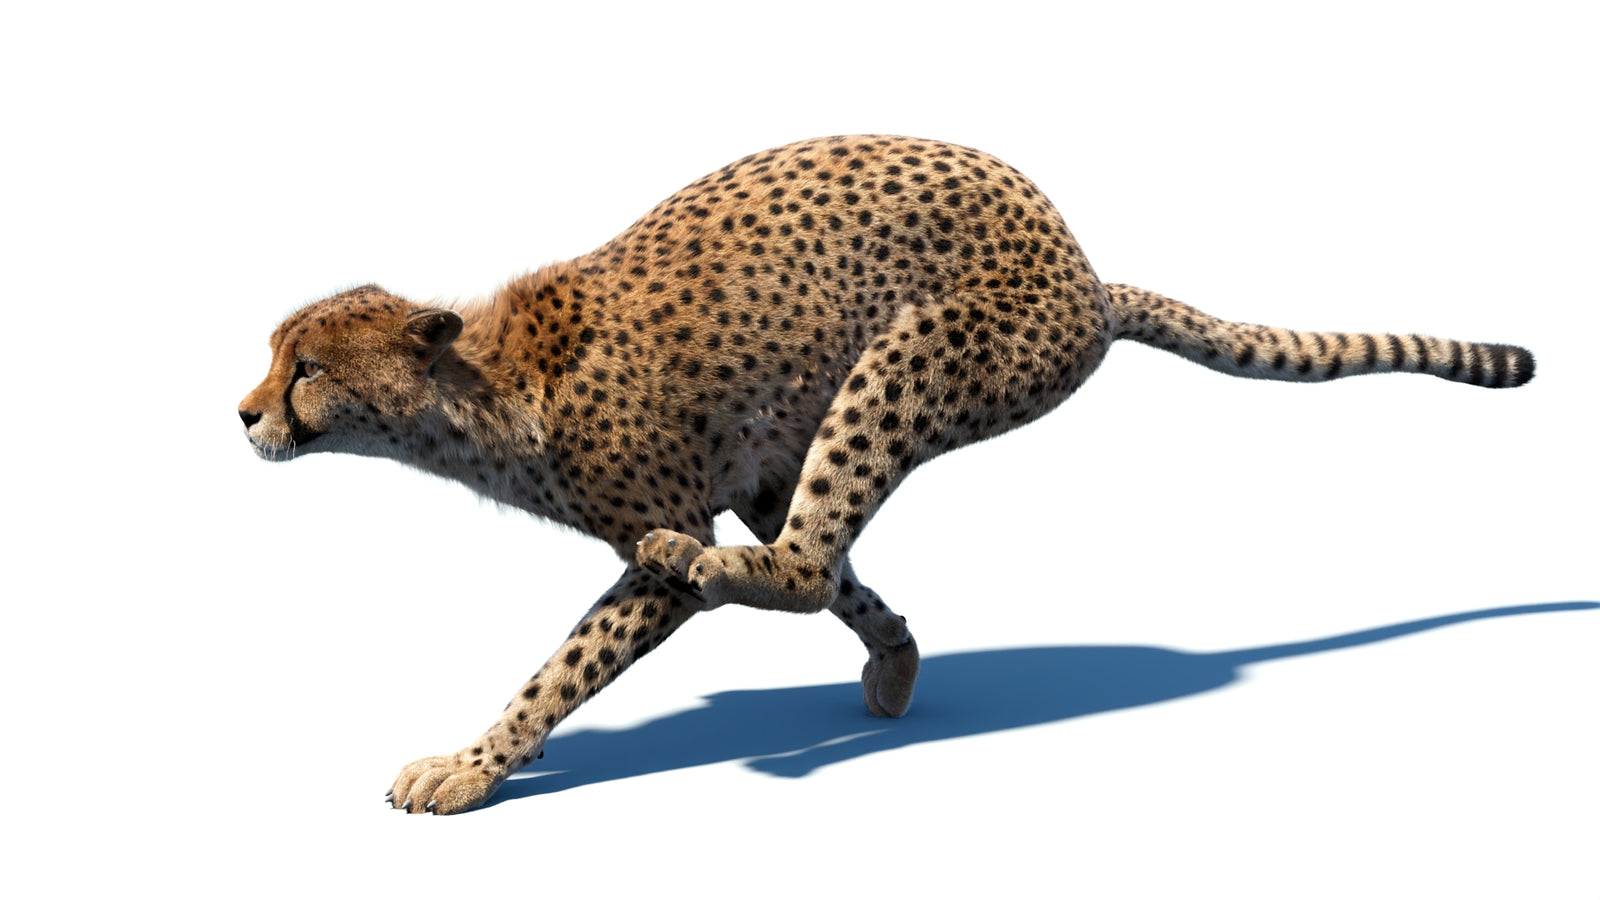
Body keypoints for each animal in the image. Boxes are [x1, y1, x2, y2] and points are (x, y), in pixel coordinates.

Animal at [239, 135, 1535, 814]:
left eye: (306, 369)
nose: (243, 413)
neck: (479, 391)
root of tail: (1085, 270)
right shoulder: (746, 476)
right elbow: (841, 581)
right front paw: (899, 653)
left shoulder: (667, 524)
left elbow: (570, 661)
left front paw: (473, 765)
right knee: (814, 553)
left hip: (911, 356)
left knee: (799, 563)